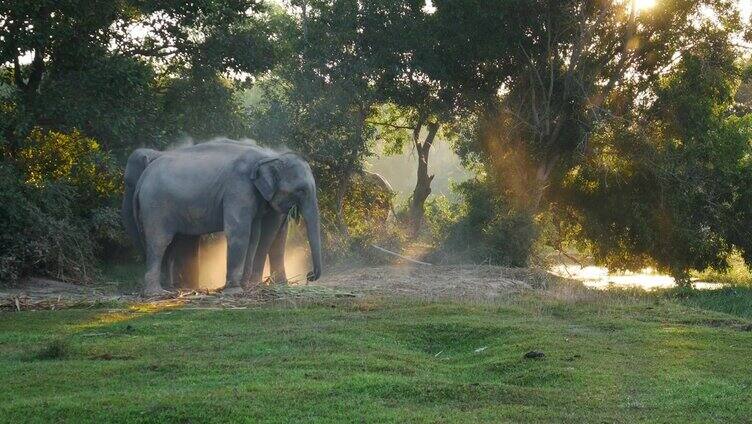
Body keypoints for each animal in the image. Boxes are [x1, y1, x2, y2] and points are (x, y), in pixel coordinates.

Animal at [129, 142, 320, 294]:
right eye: (301, 190)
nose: (309, 275)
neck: (269, 156)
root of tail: (143, 177)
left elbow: (253, 235)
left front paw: (246, 286)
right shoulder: (238, 188)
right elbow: (239, 231)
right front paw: (235, 291)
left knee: (169, 244)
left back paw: (169, 289)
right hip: (155, 206)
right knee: (159, 241)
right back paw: (156, 293)